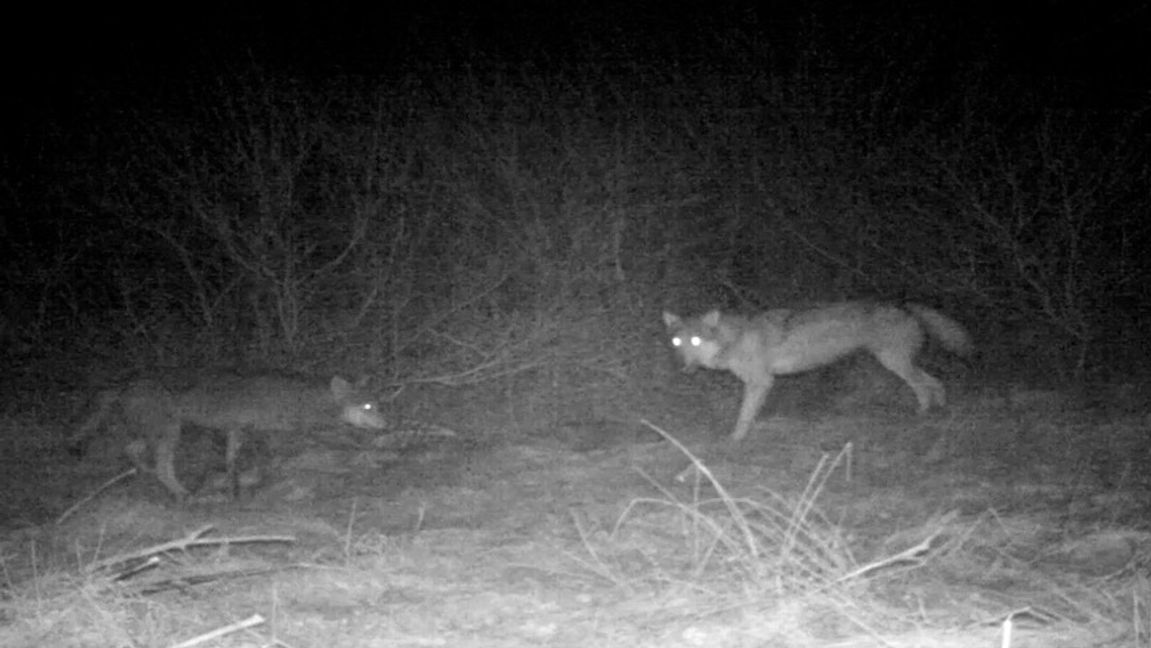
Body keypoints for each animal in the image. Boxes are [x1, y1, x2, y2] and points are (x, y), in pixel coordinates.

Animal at [73, 370, 386, 501]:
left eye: (378, 405)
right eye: (368, 407)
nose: (389, 425)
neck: (295, 399)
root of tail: (124, 384)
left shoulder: (236, 430)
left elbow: (231, 464)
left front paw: (234, 492)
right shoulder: (258, 433)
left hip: (156, 434)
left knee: (131, 450)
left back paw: (150, 478)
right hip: (170, 433)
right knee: (161, 467)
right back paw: (183, 493)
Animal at [667, 303, 971, 441]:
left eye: (696, 341)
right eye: (678, 342)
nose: (682, 367)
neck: (734, 339)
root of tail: (906, 306)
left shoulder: (761, 382)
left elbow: (744, 416)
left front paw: (735, 439)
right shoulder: (759, 383)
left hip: (894, 363)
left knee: (924, 386)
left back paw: (922, 414)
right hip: (899, 363)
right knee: (936, 382)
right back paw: (939, 410)